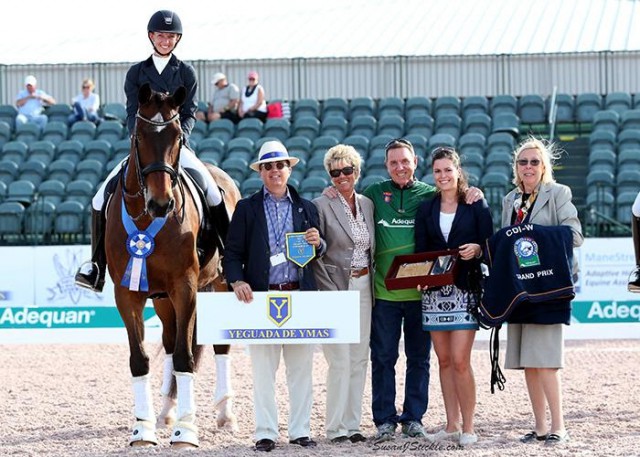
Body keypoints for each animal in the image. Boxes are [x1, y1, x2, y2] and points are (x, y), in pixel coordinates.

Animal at [105, 83, 240, 446]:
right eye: (139, 136)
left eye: (178, 136)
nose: (161, 203)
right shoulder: (127, 293)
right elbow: (140, 359)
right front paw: (143, 428)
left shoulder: (186, 287)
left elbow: (185, 356)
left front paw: (186, 431)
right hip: (163, 299)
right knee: (168, 339)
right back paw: (166, 410)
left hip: (219, 285)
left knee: (218, 344)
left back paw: (224, 413)